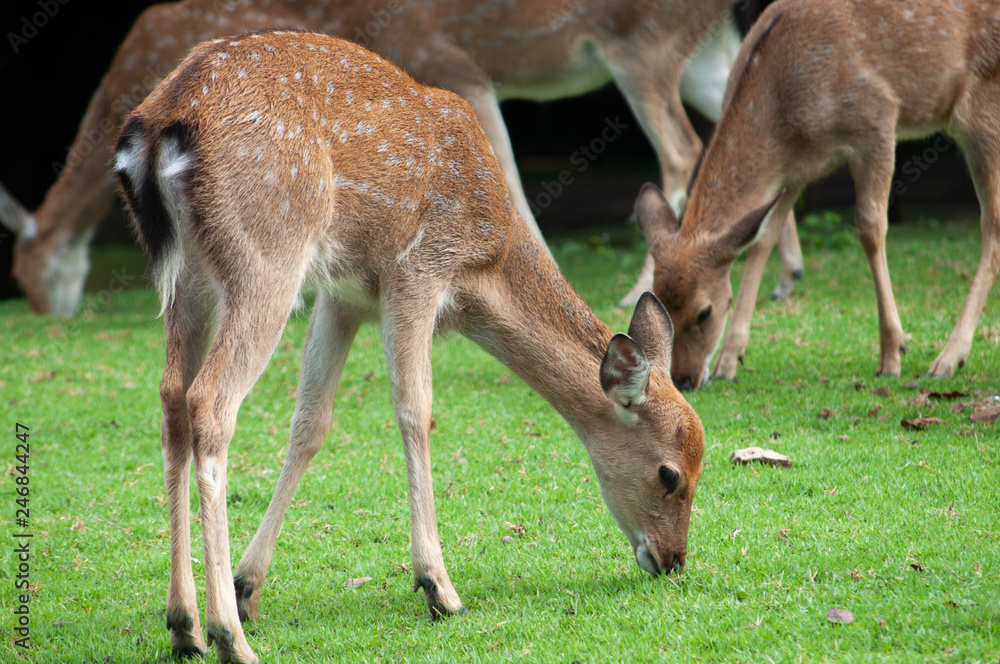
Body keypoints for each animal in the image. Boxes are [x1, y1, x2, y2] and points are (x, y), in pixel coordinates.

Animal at [0, 0, 806, 317]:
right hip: (705, 45)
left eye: (30, 274)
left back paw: (640, 288)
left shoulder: (450, 63)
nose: (47, 314)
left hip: (640, 43)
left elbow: (505, 175)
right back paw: (783, 274)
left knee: (684, 146)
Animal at [114, 30, 705, 663]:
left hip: (188, 279)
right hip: (268, 254)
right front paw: (438, 587)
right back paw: (228, 635)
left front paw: (249, 584)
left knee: (171, 398)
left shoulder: (343, 295)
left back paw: (184, 624)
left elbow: (311, 423)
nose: (673, 560)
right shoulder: (417, 270)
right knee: (210, 403)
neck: (485, 264)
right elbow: (415, 411)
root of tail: (159, 127)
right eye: (670, 474)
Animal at [633, 0, 1000, 390]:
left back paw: (947, 359)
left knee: (991, 222)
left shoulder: (877, 119)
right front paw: (728, 361)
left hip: (983, 109)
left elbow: (870, 228)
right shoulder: (794, 170)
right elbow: (763, 241)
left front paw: (891, 355)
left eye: (705, 311)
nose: (684, 379)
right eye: (659, 304)